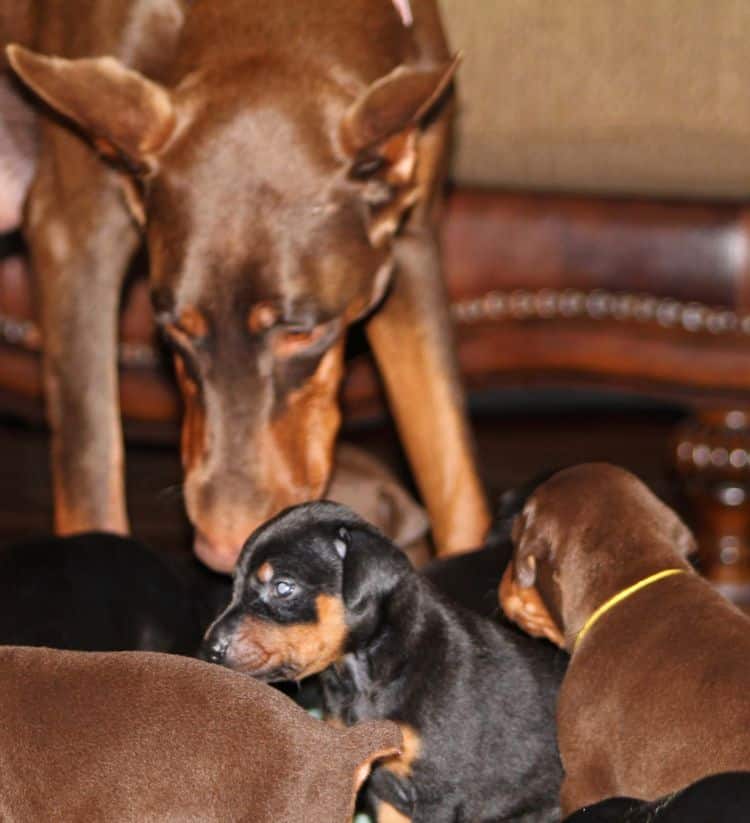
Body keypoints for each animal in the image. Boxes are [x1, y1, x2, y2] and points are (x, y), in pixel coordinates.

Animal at [203, 502, 568, 823]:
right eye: (234, 584)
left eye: (283, 587)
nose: (210, 649)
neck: (365, 680)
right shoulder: (382, 791)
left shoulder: (440, 793)